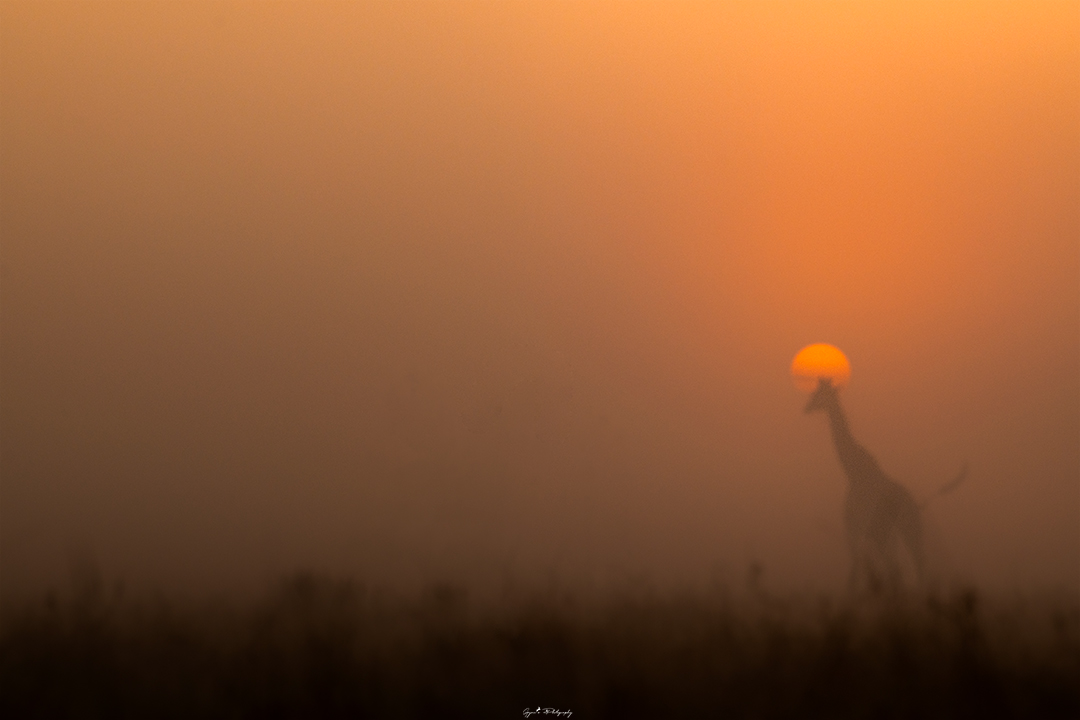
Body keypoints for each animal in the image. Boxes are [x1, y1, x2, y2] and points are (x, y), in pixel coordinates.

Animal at [804, 377, 963, 596]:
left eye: (821, 394)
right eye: (815, 392)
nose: (806, 408)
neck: (853, 473)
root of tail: (917, 504)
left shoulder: (860, 525)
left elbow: (859, 565)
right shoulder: (859, 527)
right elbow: (859, 565)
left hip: (908, 527)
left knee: (915, 559)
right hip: (889, 532)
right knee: (897, 563)